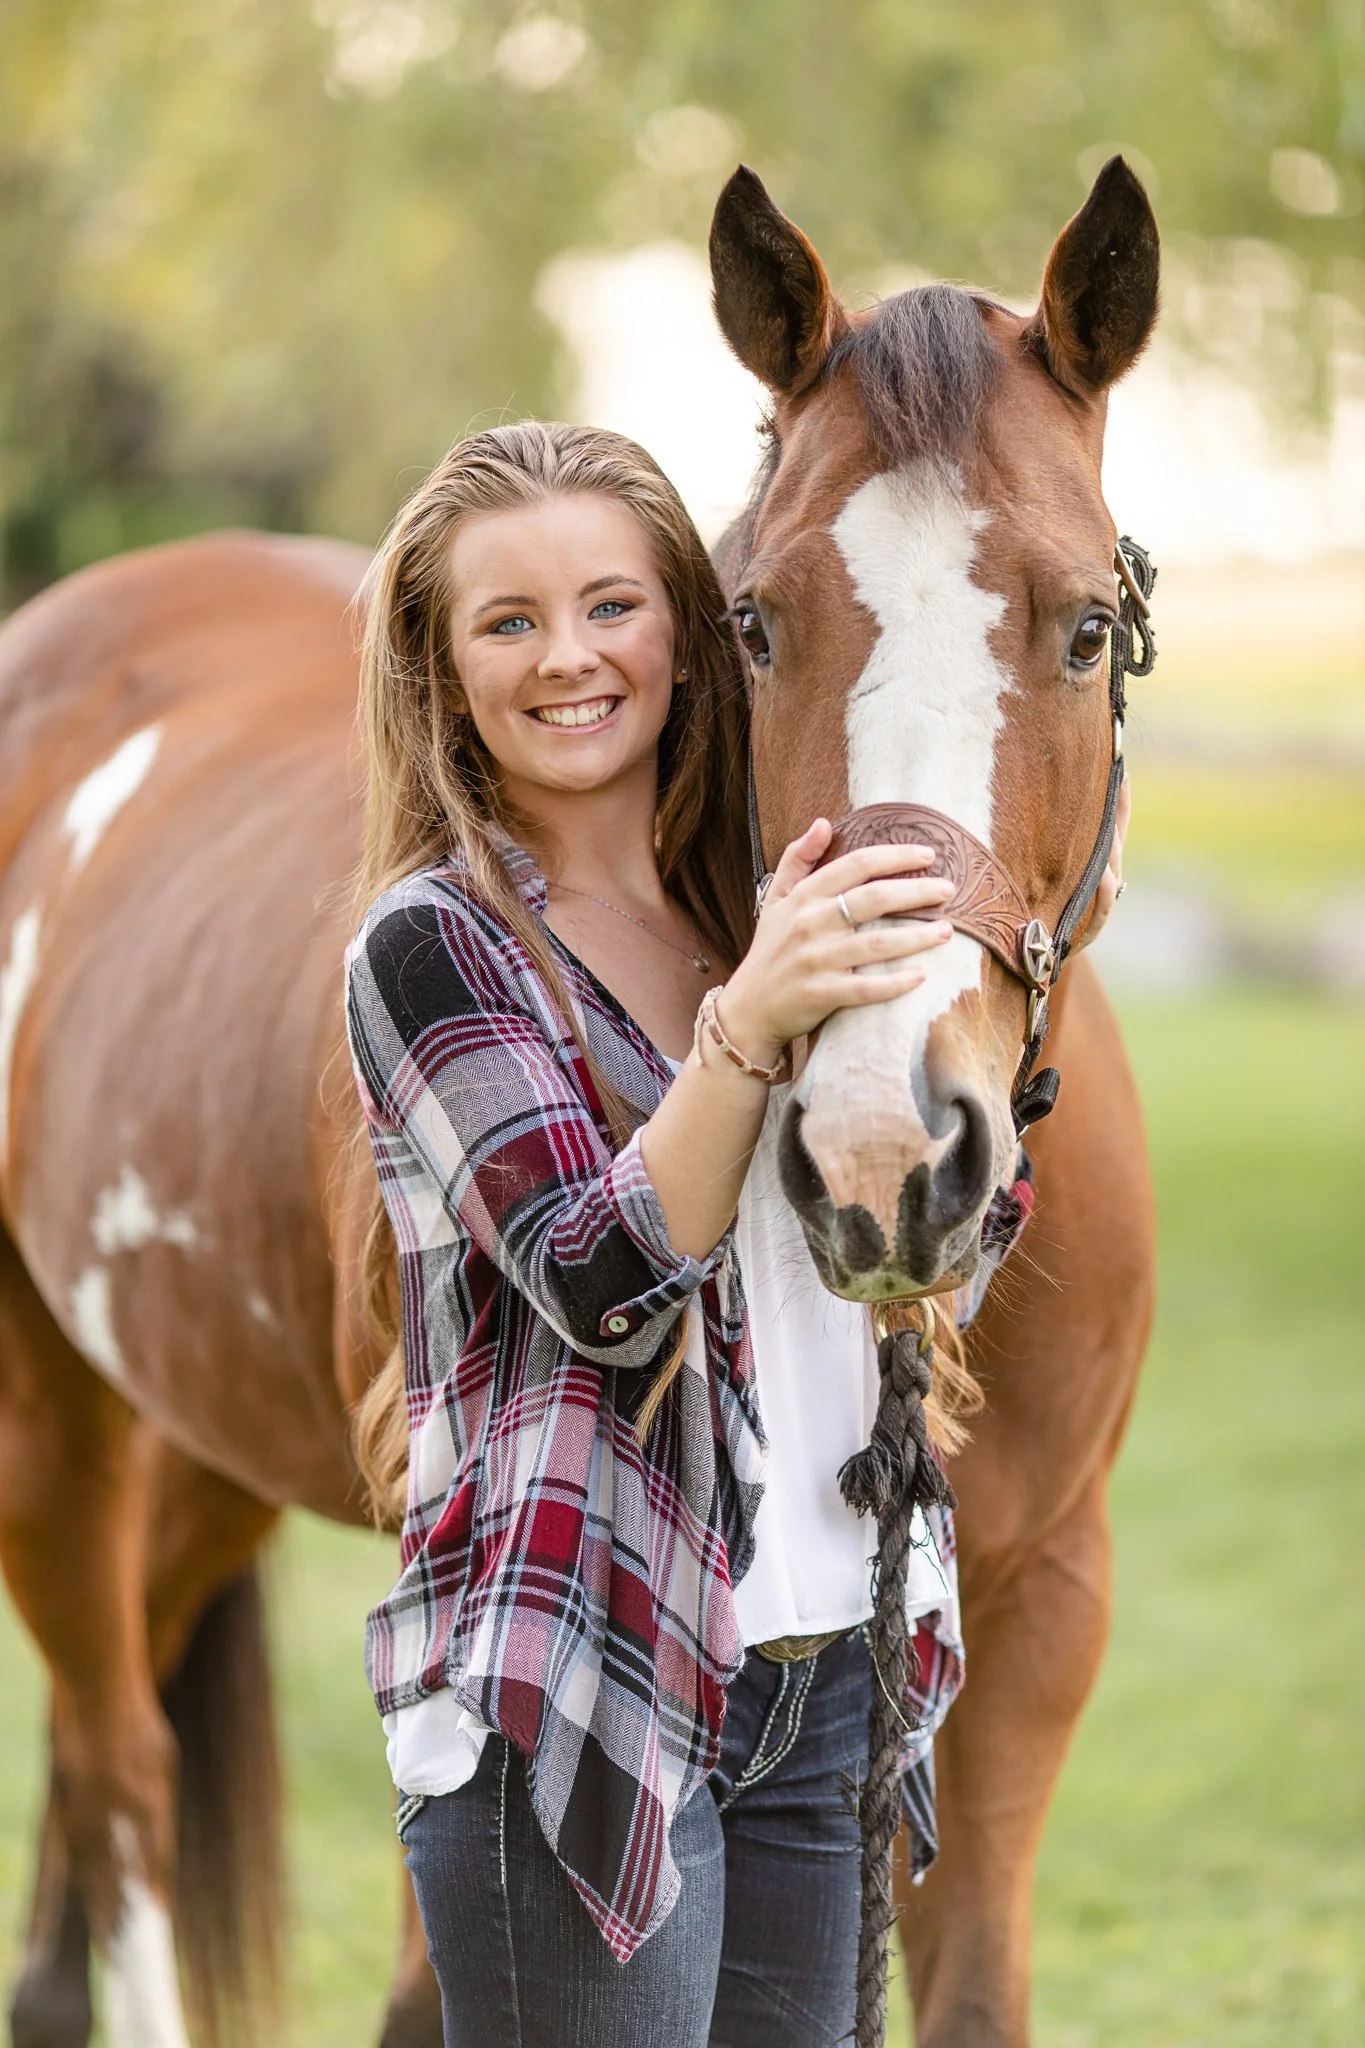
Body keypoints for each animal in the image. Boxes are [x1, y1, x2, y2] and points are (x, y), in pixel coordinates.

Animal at [0, 158, 1156, 2048]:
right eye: (752, 619)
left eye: (1082, 627)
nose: (883, 1154)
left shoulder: (1040, 1610)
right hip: (55, 1423)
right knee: (119, 1777)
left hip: (198, 1428)